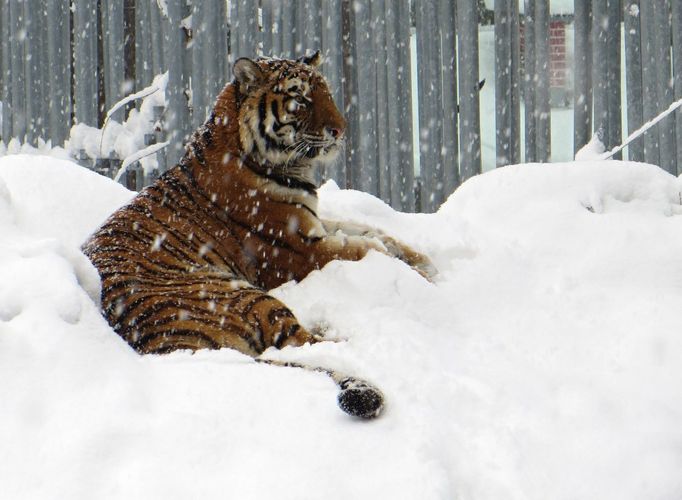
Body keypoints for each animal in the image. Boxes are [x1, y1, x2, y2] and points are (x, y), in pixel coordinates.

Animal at [82, 51, 432, 418]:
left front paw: (426, 261)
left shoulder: (315, 225)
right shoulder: (301, 250)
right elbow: (365, 249)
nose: (340, 130)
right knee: (305, 345)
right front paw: (422, 277)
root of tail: (170, 346)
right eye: (301, 99)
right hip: (244, 295)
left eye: (326, 93)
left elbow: (373, 233)